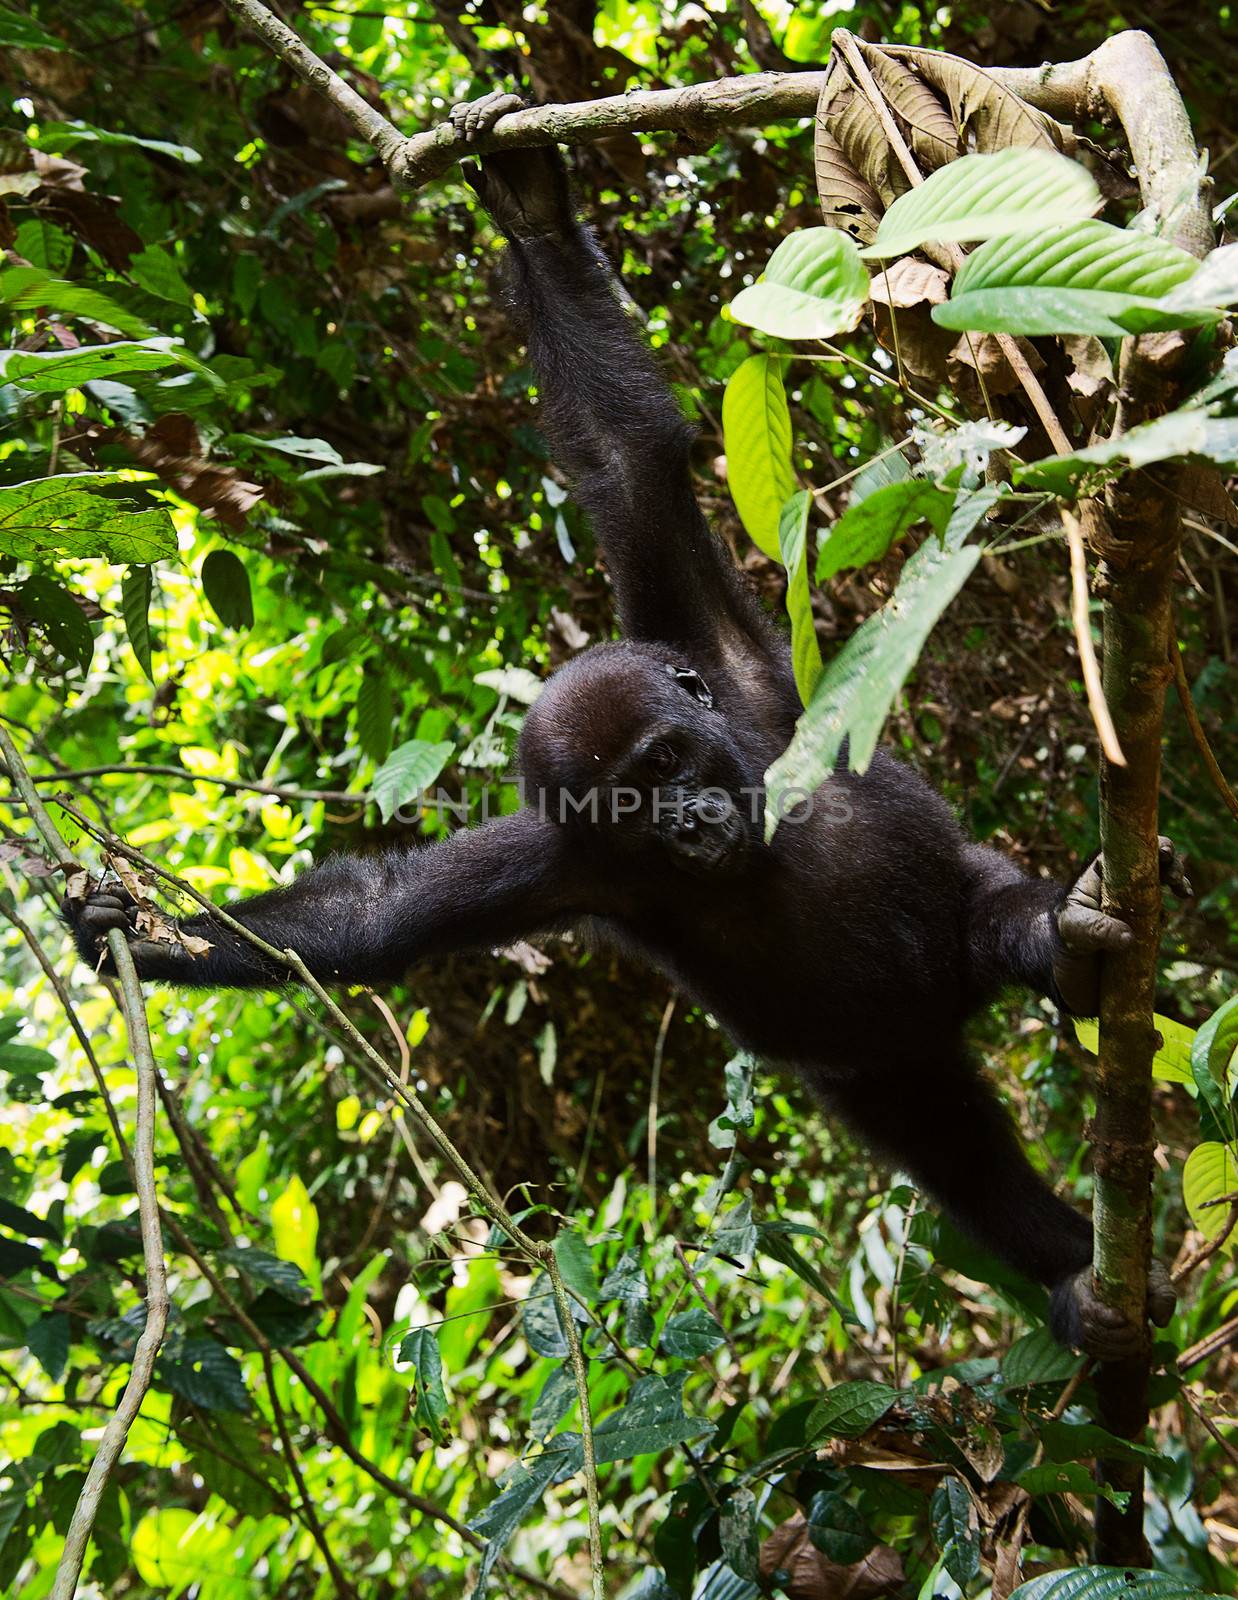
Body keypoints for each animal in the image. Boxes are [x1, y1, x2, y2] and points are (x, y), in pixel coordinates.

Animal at [70, 93, 1183, 1356]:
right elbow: (375, 917)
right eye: (634, 805)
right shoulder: (564, 858)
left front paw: (528, 211)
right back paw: (1070, 1267)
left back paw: (1065, 947)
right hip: (884, 1065)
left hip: (956, 923)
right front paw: (136, 931)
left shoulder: (727, 669)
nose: (691, 822)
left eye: (667, 760)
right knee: (953, 1151)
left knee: (992, 915)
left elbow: (624, 459)